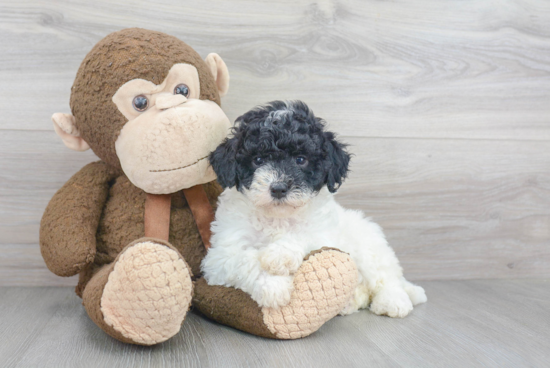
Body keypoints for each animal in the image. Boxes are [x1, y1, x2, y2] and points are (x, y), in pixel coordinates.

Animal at [202, 100, 426, 316]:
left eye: (301, 159)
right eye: (258, 160)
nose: (279, 188)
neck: (278, 217)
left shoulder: (324, 236)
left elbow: (305, 236)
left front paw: (279, 255)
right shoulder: (219, 256)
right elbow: (244, 259)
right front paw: (273, 287)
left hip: (369, 248)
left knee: (387, 278)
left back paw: (393, 302)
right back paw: (350, 302)